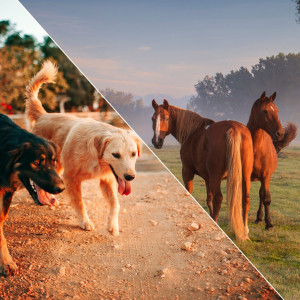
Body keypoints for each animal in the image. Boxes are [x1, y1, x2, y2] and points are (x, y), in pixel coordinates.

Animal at [25, 60, 142, 234]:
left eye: (133, 154)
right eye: (116, 155)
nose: (130, 177)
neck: (95, 156)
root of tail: (43, 115)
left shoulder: (107, 180)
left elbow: (116, 204)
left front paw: (112, 225)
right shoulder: (71, 178)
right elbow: (80, 203)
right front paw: (85, 222)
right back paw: (43, 198)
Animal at [151, 99, 254, 241]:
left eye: (166, 118)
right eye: (153, 118)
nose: (156, 141)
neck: (191, 134)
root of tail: (233, 128)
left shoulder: (187, 172)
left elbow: (191, 193)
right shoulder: (207, 178)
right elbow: (208, 199)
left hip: (216, 177)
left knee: (218, 198)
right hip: (245, 176)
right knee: (245, 200)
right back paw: (245, 232)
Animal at [246, 92, 298, 229]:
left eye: (277, 110)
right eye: (265, 111)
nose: (280, 133)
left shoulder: (266, 175)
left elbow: (266, 199)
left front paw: (269, 224)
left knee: (262, 195)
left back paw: (260, 218)